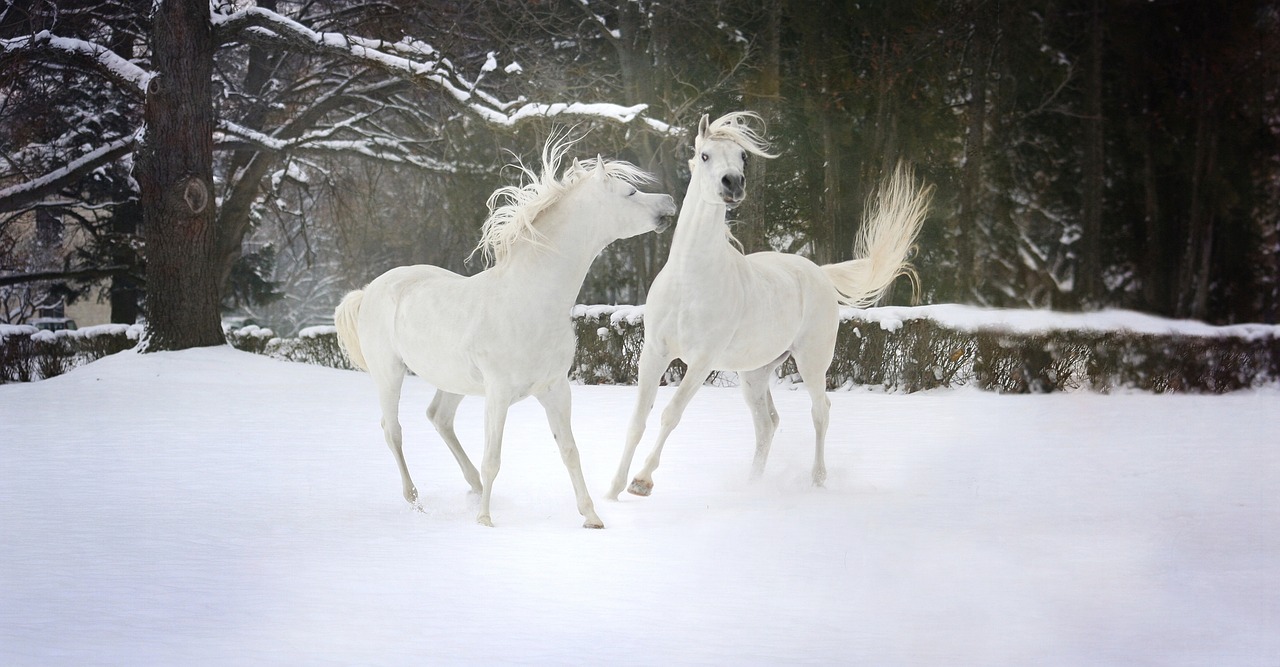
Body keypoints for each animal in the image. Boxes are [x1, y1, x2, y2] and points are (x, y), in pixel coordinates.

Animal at [337, 137, 680, 527]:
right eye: (630, 192)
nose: (670, 202)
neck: (527, 300)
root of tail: (369, 291)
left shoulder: (555, 389)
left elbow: (569, 451)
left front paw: (591, 516)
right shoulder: (498, 394)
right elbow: (494, 458)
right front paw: (485, 521)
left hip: (453, 380)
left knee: (439, 418)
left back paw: (471, 486)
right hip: (389, 374)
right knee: (393, 430)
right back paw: (415, 500)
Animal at [609, 112, 931, 499]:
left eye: (743, 157)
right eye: (704, 155)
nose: (733, 183)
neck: (690, 278)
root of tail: (819, 273)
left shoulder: (702, 361)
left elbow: (671, 413)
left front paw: (641, 482)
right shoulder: (654, 353)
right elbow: (638, 418)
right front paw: (612, 490)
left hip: (812, 361)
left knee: (820, 411)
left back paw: (817, 480)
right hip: (755, 373)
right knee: (766, 424)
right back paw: (752, 485)